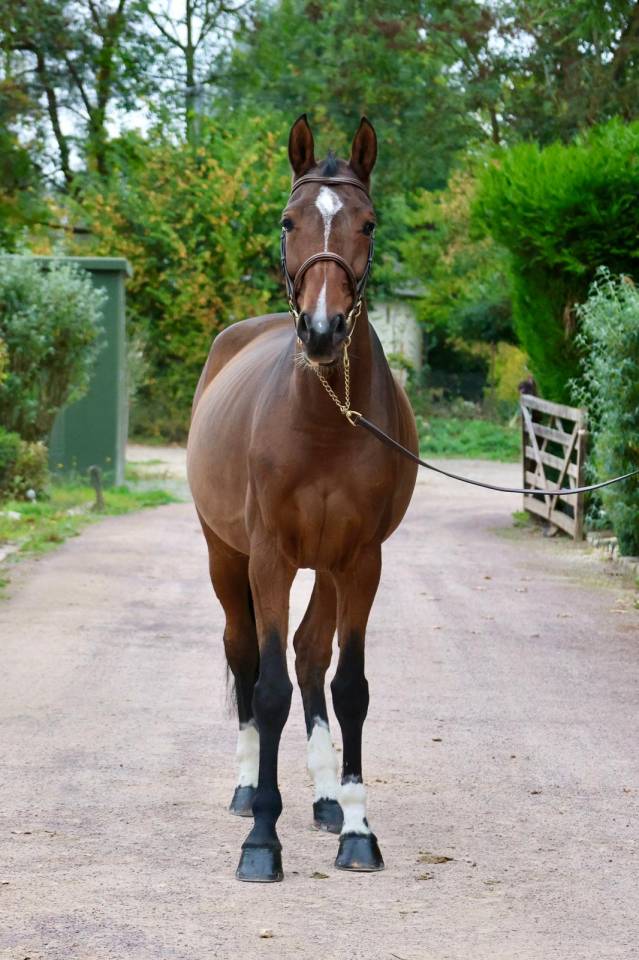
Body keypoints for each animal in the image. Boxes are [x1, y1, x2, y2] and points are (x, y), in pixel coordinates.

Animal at [187, 114, 418, 882]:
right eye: (289, 221)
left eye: (367, 223)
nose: (322, 331)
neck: (323, 416)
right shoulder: (269, 557)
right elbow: (266, 690)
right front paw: (262, 838)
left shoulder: (361, 559)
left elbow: (348, 686)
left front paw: (357, 828)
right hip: (225, 557)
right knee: (244, 655)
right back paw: (246, 788)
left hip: (327, 566)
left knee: (311, 655)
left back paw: (322, 801)